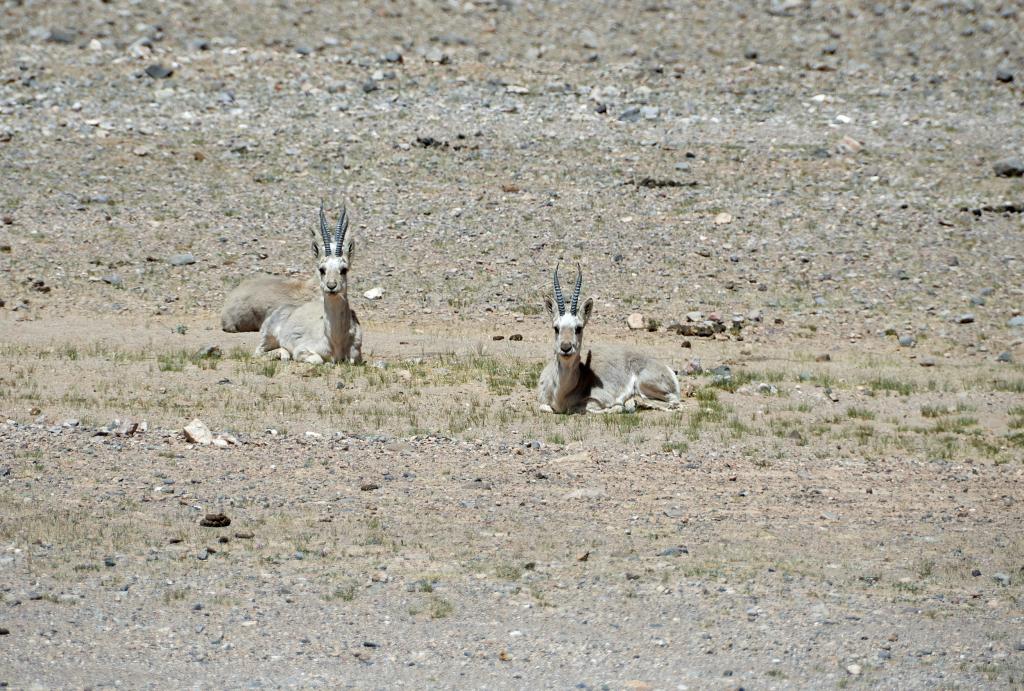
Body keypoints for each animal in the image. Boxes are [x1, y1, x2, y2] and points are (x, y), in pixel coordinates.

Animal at [256, 201, 364, 368]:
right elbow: (317, 359)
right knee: (259, 352)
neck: (335, 341)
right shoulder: (302, 350)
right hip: (267, 338)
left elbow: (351, 361)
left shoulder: (356, 357)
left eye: (344, 269)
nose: (331, 286)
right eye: (322, 269)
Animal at [536, 264, 679, 415]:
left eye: (579, 328)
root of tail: (667, 369)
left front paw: (620, 406)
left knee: (673, 403)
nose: (565, 348)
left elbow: (584, 408)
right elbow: (544, 407)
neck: (561, 393)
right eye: (556, 328)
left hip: (645, 386)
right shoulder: (543, 403)